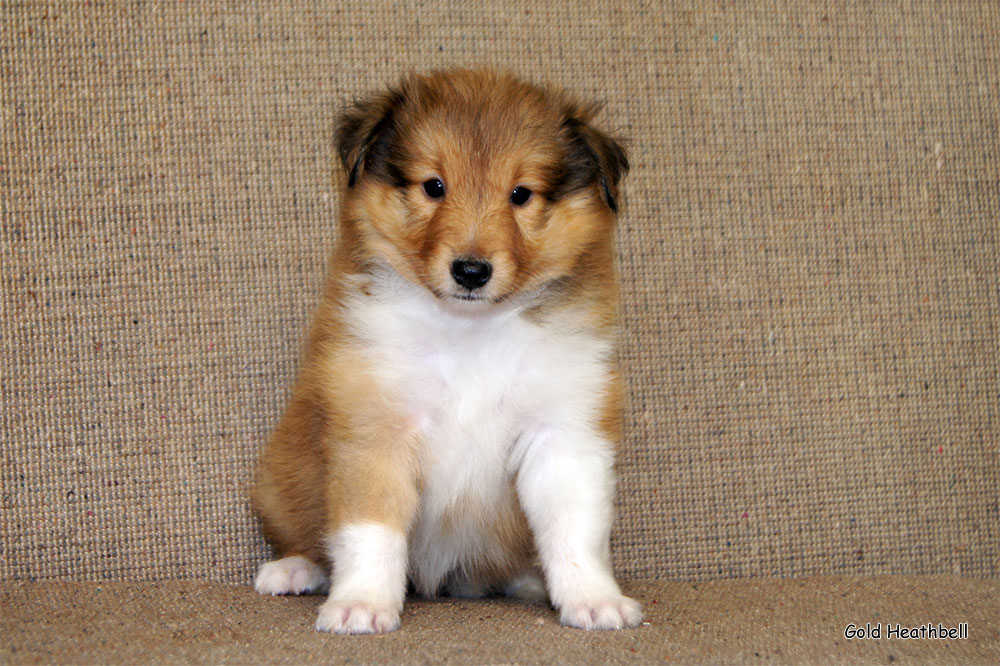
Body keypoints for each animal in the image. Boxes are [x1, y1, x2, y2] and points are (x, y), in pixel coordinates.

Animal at [250, 68, 640, 632]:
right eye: (434, 185)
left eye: (521, 194)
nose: (471, 271)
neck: (469, 330)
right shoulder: (375, 428)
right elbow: (371, 530)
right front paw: (363, 604)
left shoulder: (564, 431)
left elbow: (575, 530)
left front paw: (594, 599)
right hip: (281, 475)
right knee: (307, 536)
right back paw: (293, 569)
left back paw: (530, 581)